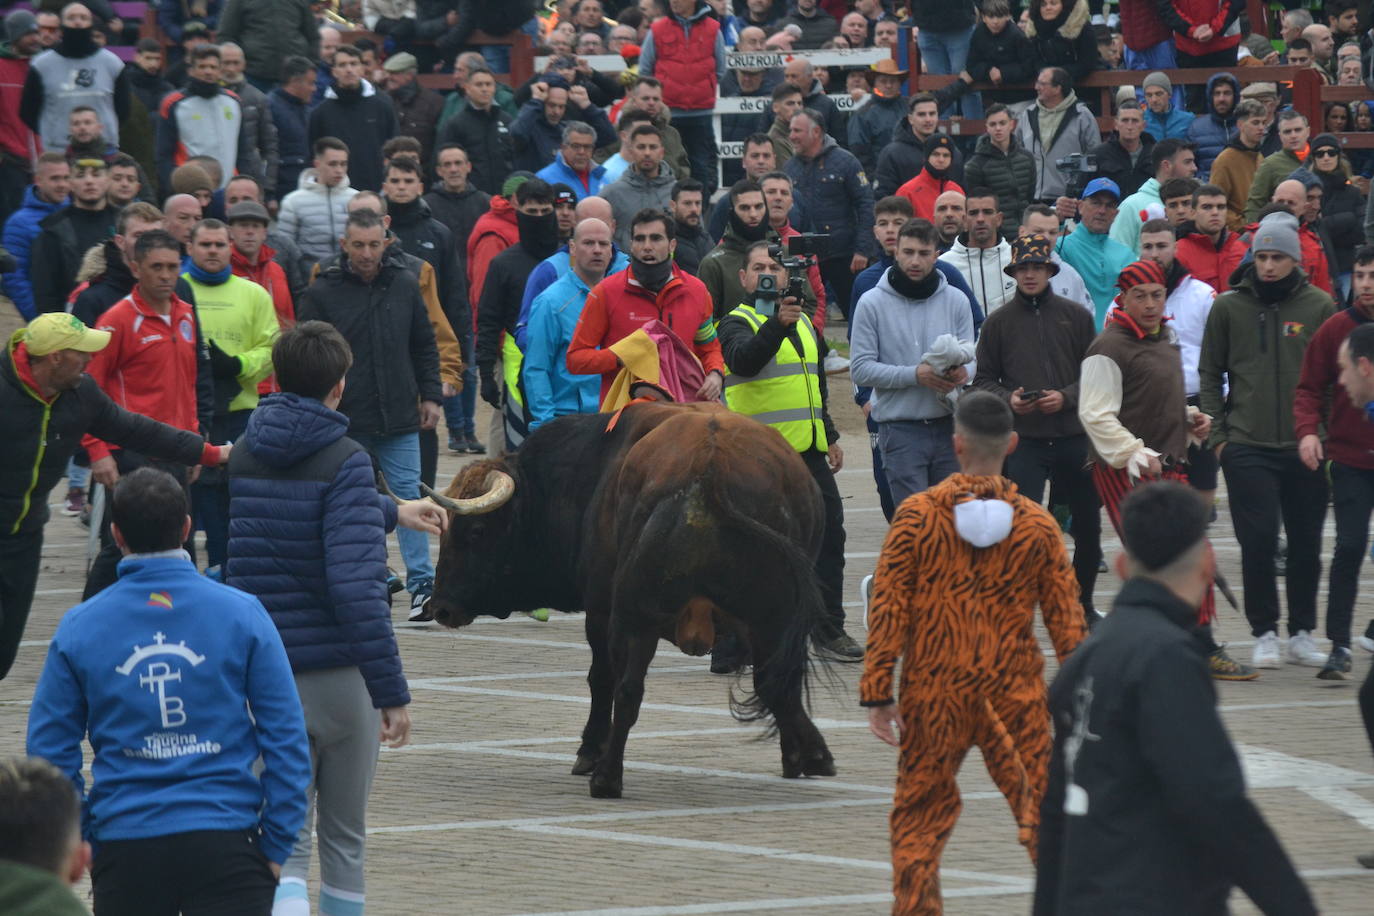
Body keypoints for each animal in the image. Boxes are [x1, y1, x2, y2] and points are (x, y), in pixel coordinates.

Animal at [425, 401, 835, 796]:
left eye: (476, 530)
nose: (440, 607)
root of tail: (710, 471)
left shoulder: (600, 611)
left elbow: (601, 679)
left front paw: (589, 751)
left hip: (639, 618)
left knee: (628, 689)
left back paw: (606, 777)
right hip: (767, 620)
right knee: (776, 682)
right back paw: (808, 754)